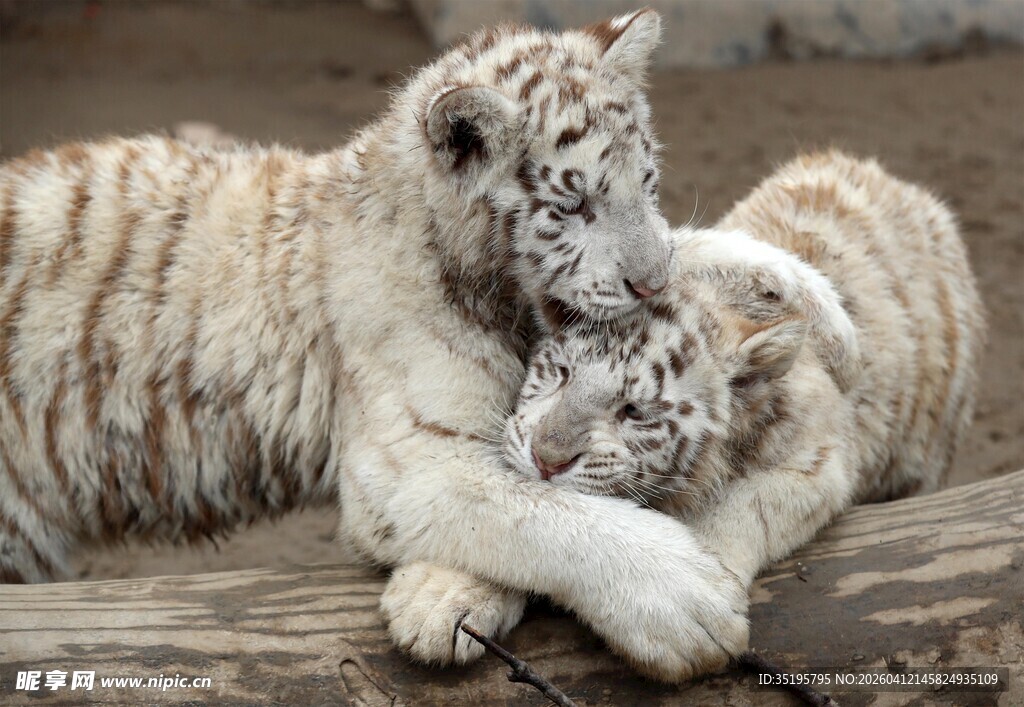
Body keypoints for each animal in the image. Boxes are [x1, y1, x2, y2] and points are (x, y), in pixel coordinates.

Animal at [382, 151, 984, 682]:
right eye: (560, 373)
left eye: (635, 411)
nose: (547, 458)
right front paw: (438, 593)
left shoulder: (816, 463)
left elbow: (734, 513)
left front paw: (695, 606)